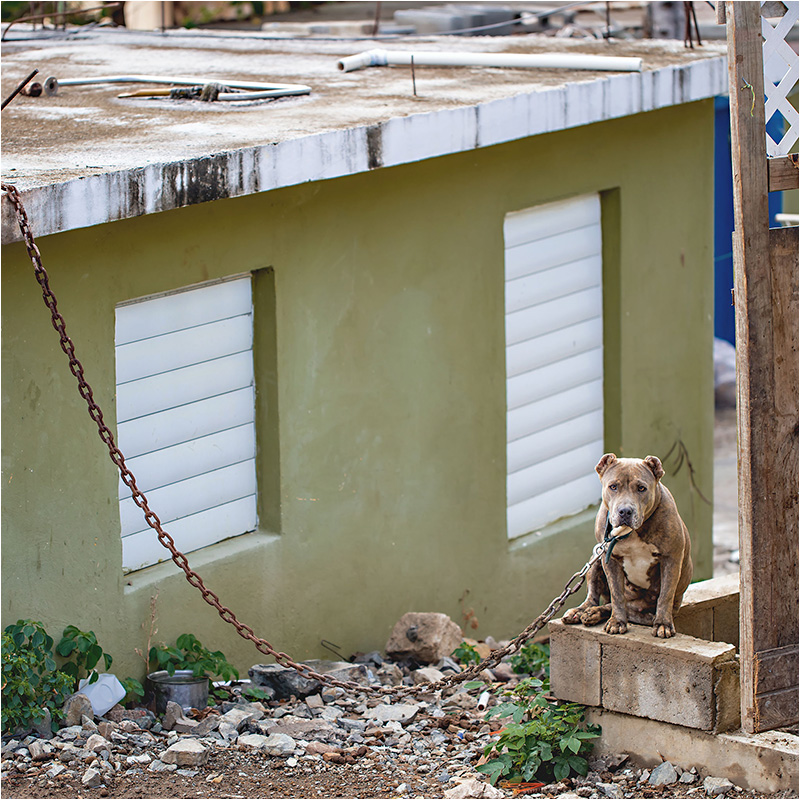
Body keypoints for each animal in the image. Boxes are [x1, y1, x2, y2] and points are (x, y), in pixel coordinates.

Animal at [564, 456, 692, 636]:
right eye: (613, 486)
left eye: (641, 488)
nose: (625, 511)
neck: (630, 532)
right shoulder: (609, 560)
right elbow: (617, 594)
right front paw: (617, 622)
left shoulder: (671, 558)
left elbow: (665, 595)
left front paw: (663, 624)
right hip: (595, 558)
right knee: (596, 596)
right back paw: (583, 611)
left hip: (644, 611)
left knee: (622, 608)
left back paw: (595, 613)